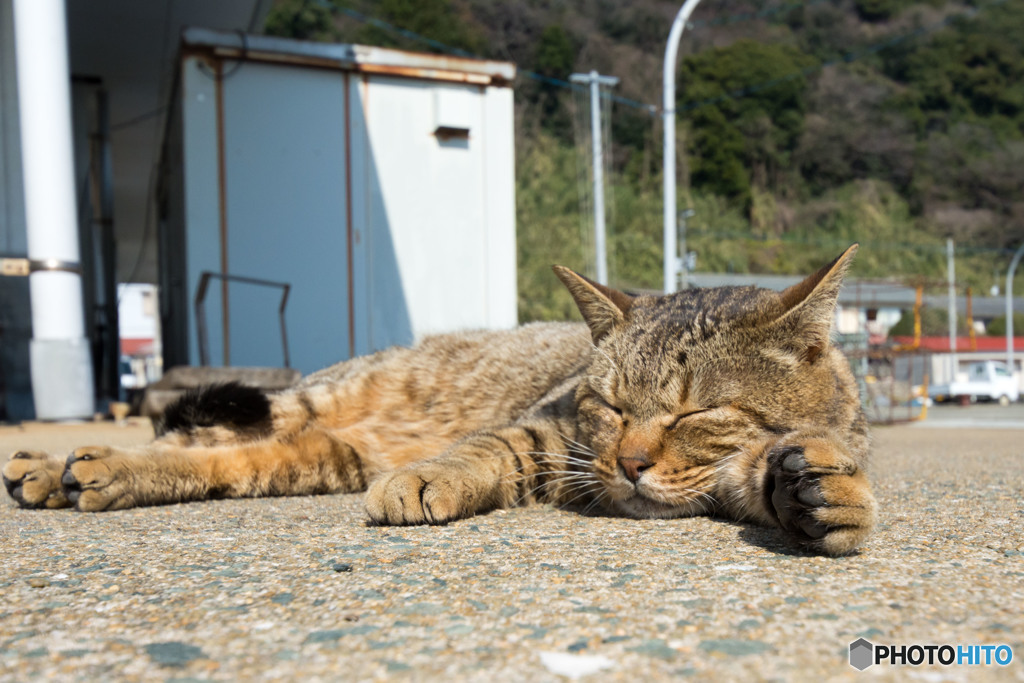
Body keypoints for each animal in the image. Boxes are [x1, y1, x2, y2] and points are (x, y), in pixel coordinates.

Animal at [4, 245, 876, 557]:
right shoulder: (549, 428)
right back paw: (56, 462)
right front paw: (433, 474)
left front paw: (828, 494)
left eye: (694, 414)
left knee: (216, 458)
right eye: (608, 404)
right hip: (311, 399)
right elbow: (485, 447)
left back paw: (86, 472)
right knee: (183, 436)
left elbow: (784, 471)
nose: (628, 463)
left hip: (316, 455)